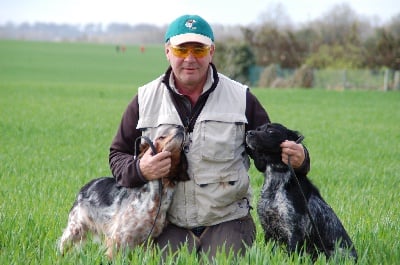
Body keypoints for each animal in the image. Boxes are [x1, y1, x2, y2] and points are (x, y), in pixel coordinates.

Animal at [245, 121, 358, 260]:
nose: (248, 132)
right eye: (258, 128)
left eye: (271, 131)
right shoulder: (269, 230)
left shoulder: (294, 231)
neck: (277, 181)